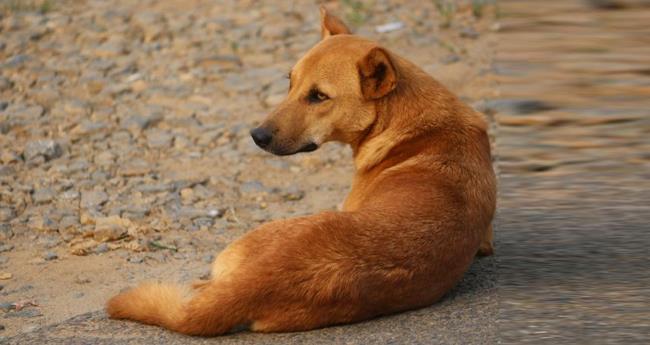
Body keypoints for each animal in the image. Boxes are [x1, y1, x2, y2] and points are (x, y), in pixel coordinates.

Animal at [106, 7, 494, 336]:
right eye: (289, 82)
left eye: (319, 96)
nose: (257, 136)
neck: (412, 126)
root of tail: (256, 284)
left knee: (203, 286)